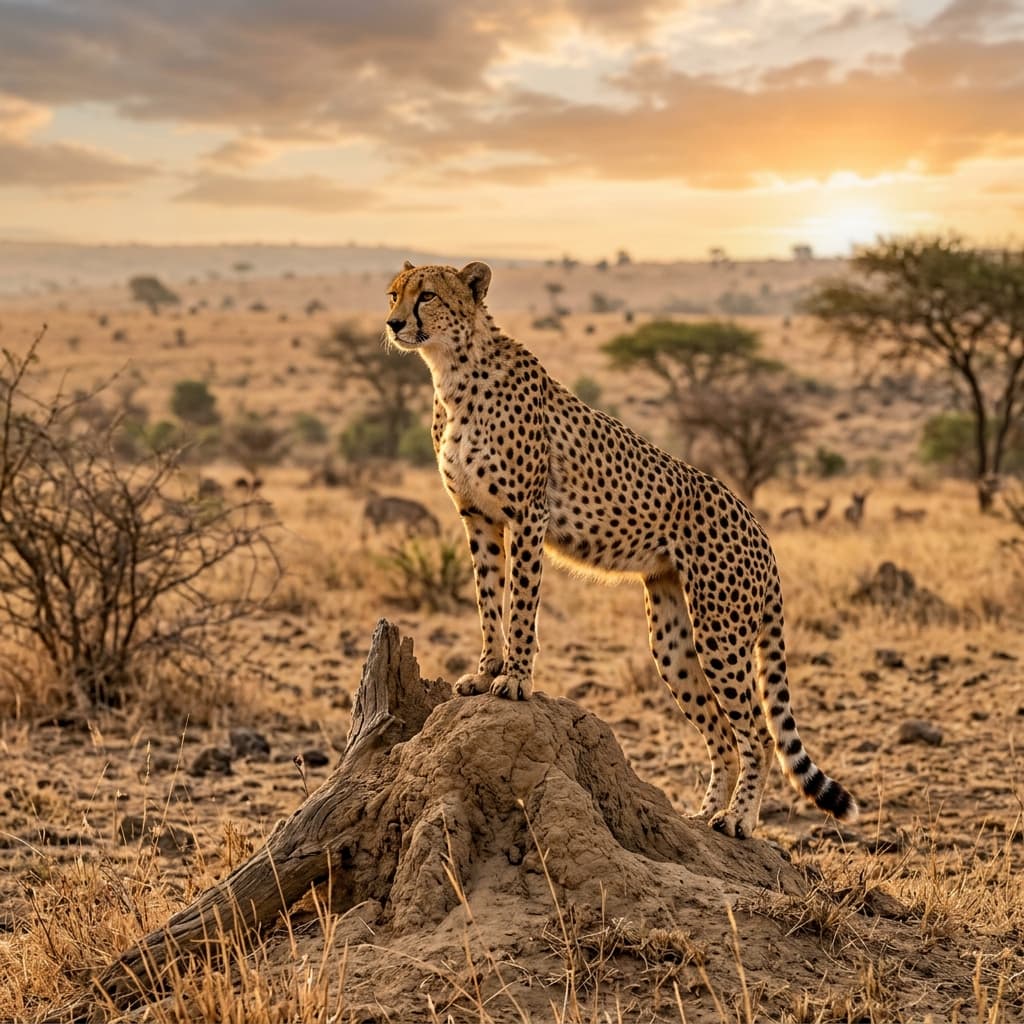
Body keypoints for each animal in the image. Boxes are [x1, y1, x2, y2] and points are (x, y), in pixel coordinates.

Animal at [385, 259, 857, 838]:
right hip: (673, 641)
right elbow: (487, 601)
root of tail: (759, 529)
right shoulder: (479, 518)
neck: (452, 371)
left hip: (720, 631)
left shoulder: (527, 517)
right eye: (393, 294)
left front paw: (515, 681)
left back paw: (738, 820)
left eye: (427, 295)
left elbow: (520, 607)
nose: (393, 324)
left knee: (761, 735)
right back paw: (701, 816)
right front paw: (485, 671)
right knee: (723, 733)